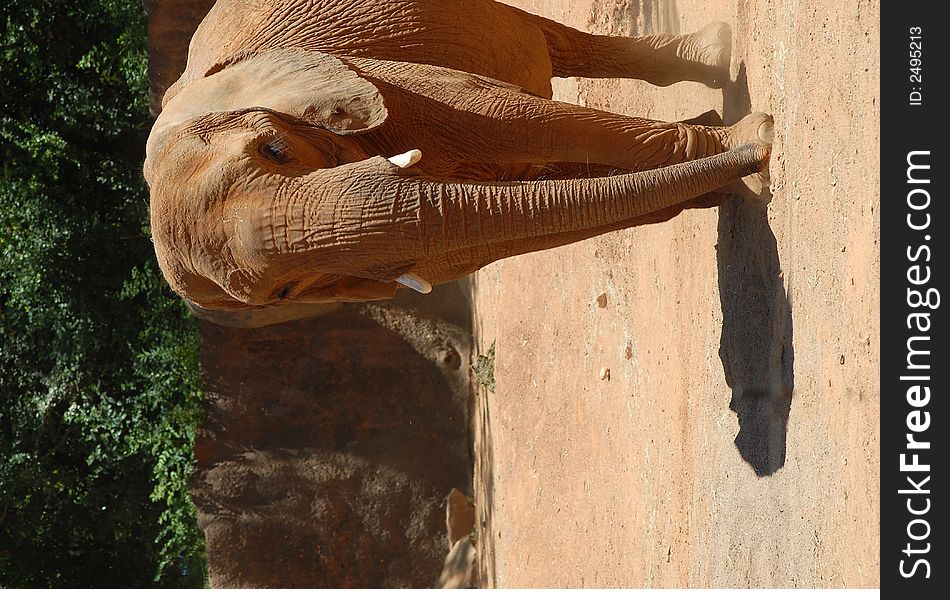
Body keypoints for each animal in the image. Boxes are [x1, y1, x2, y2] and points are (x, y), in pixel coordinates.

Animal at [147, 0, 772, 316]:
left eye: (274, 149)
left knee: (543, 40)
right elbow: (519, 227)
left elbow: (510, 119)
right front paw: (732, 175)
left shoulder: (376, 79)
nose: (750, 158)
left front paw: (755, 146)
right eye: (283, 294)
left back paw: (717, 56)